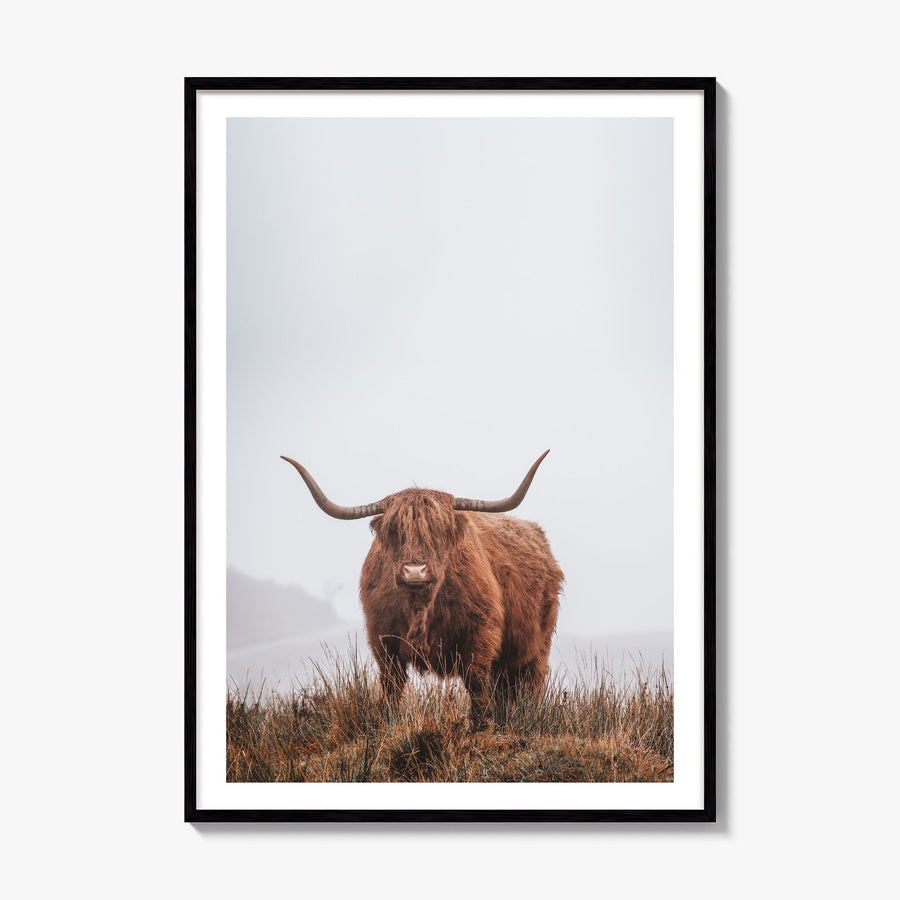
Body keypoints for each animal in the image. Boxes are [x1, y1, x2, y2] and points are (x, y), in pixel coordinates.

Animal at [281, 451, 563, 726]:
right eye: (395, 530)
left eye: (438, 530)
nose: (415, 571)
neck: (421, 607)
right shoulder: (382, 639)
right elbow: (391, 684)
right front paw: (388, 722)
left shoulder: (481, 633)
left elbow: (475, 681)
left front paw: (481, 725)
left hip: (538, 649)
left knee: (529, 685)